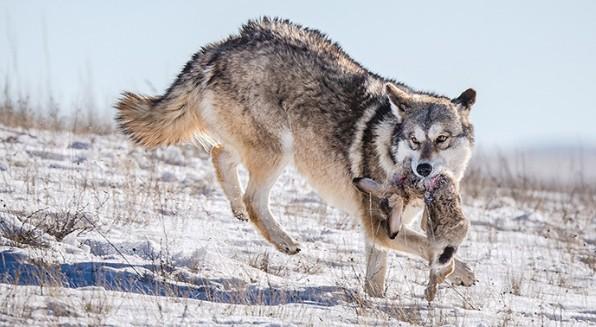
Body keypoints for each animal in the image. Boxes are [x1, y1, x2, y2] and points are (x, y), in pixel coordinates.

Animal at [116, 18, 478, 300]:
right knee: (253, 198)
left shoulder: (381, 232)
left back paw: (237, 209)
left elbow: (380, 273)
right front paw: (457, 271)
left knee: (220, 156)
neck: (390, 149)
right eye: (415, 140)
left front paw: (374, 301)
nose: (423, 168)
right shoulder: (377, 226)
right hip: (278, 150)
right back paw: (284, 242)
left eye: (442, 140)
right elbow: (433, 248)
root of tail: (224, 45)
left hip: (258, 145)